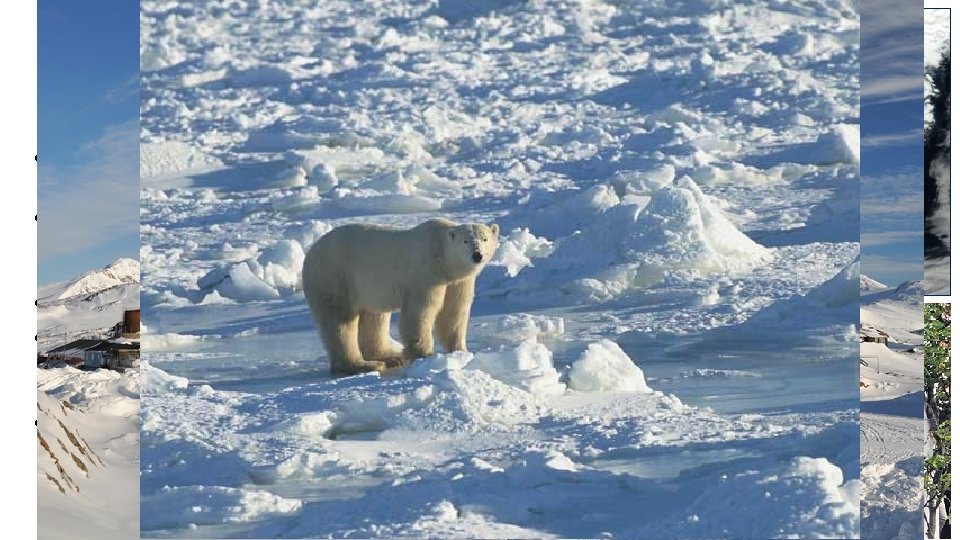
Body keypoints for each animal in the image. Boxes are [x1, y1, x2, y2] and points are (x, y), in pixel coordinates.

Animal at [306, 218, 502, 376]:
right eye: (465, 241)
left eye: (485, 239)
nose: (477, 255)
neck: (441, 257)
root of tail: (310, 252)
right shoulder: (425, 274)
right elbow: (420, 312)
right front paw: (425, 355)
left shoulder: (458, 282)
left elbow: (454, 313)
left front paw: (460, 352)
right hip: (335, 277)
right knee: (340, 320)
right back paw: (363, 365)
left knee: (374, 317)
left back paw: (391, 358)